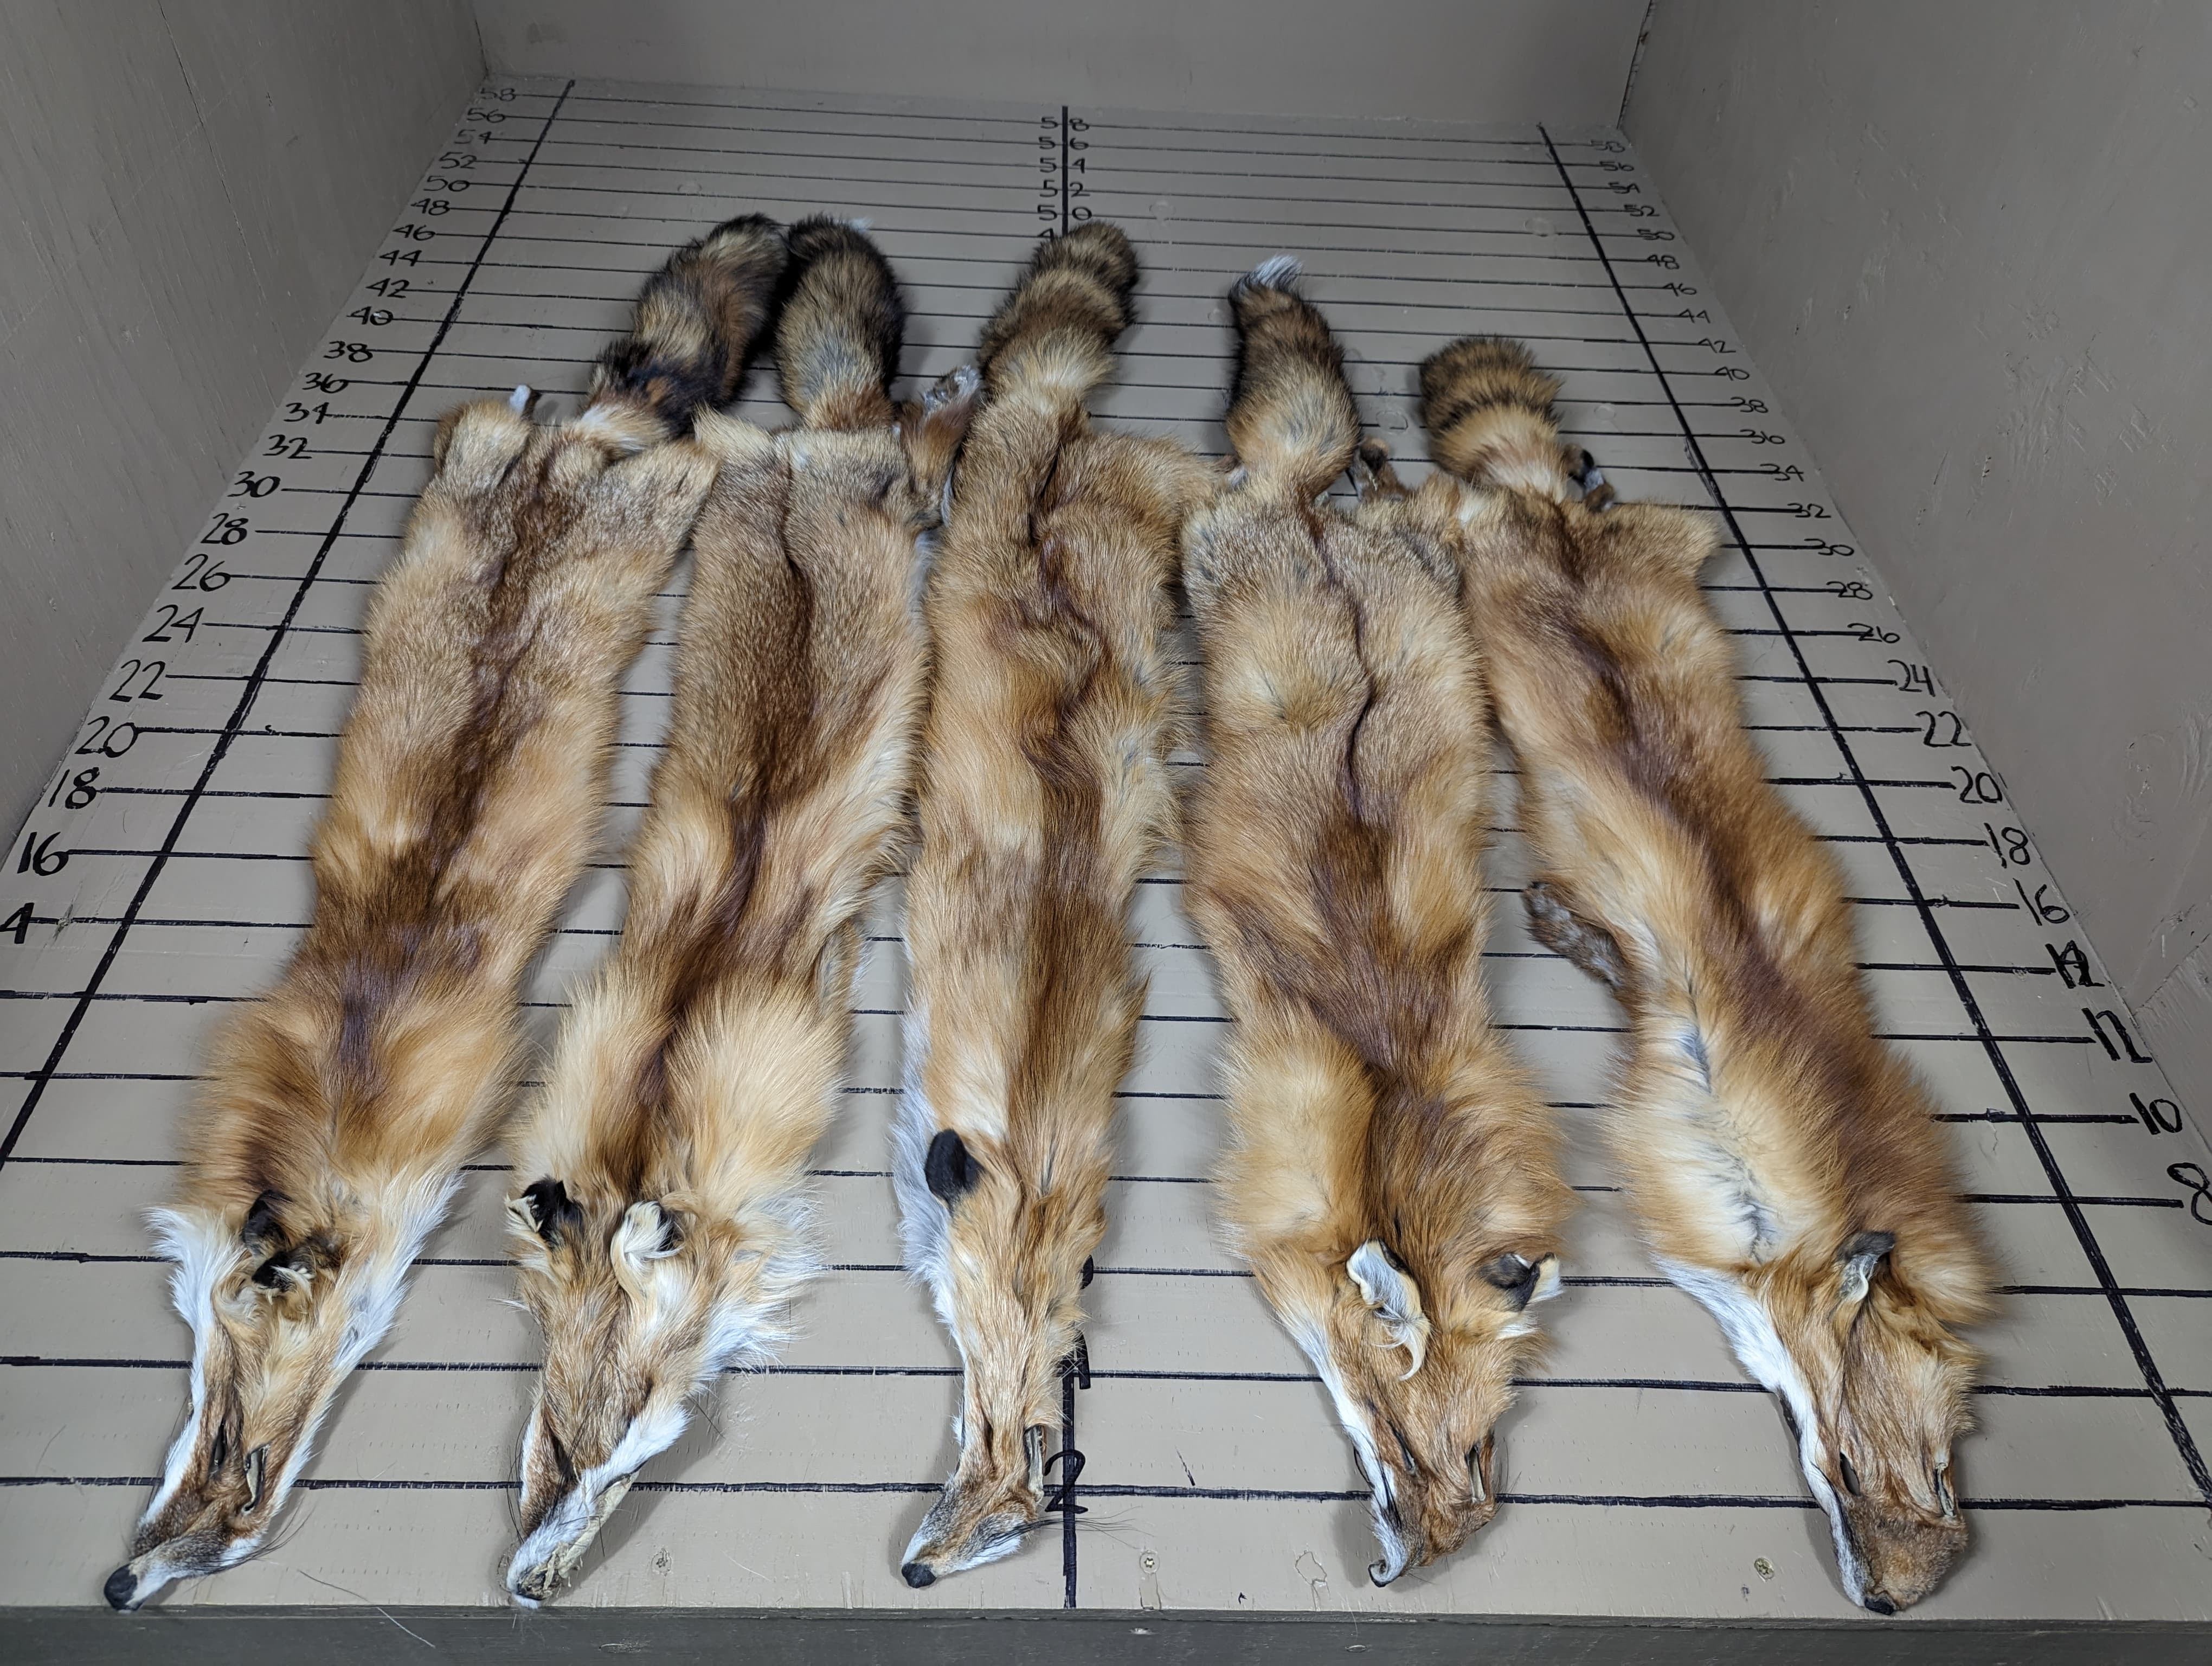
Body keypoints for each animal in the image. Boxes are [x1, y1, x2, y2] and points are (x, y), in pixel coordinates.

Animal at [97, 216, 786, 1612]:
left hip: (655, 502)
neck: (330, 1106)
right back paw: (539, 404)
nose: (118, 1588)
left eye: (243, 1464)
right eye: (209, 1430)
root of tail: (570, 464)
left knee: (666, 436)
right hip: (488, 472)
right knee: (516, 415)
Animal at [501, 218, 979, 1605]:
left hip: (879, 494)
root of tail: (793, 449)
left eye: (626, 1447)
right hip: (757, 471)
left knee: (909, 447)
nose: (523, 1587)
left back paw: (952, 396)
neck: (653, 1123)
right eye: (552, 1445)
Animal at [1179, 264, 1573, 1586]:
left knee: (1405, 491)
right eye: (1399, 1436)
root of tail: (1316, 522)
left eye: (1485, 1454)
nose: (1433, 1559)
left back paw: (1379, 465)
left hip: (1411, 549)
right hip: (1213, 542)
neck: (1392, 1099)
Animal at [1413, 335, 1995, 1613]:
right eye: (1848, 1465)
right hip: (1483, 558)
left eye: (1941, 1479)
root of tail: (1546, 517)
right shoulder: (1681, 1107)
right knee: (1452, 500)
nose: (1892, 1601)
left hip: (1666, 537)